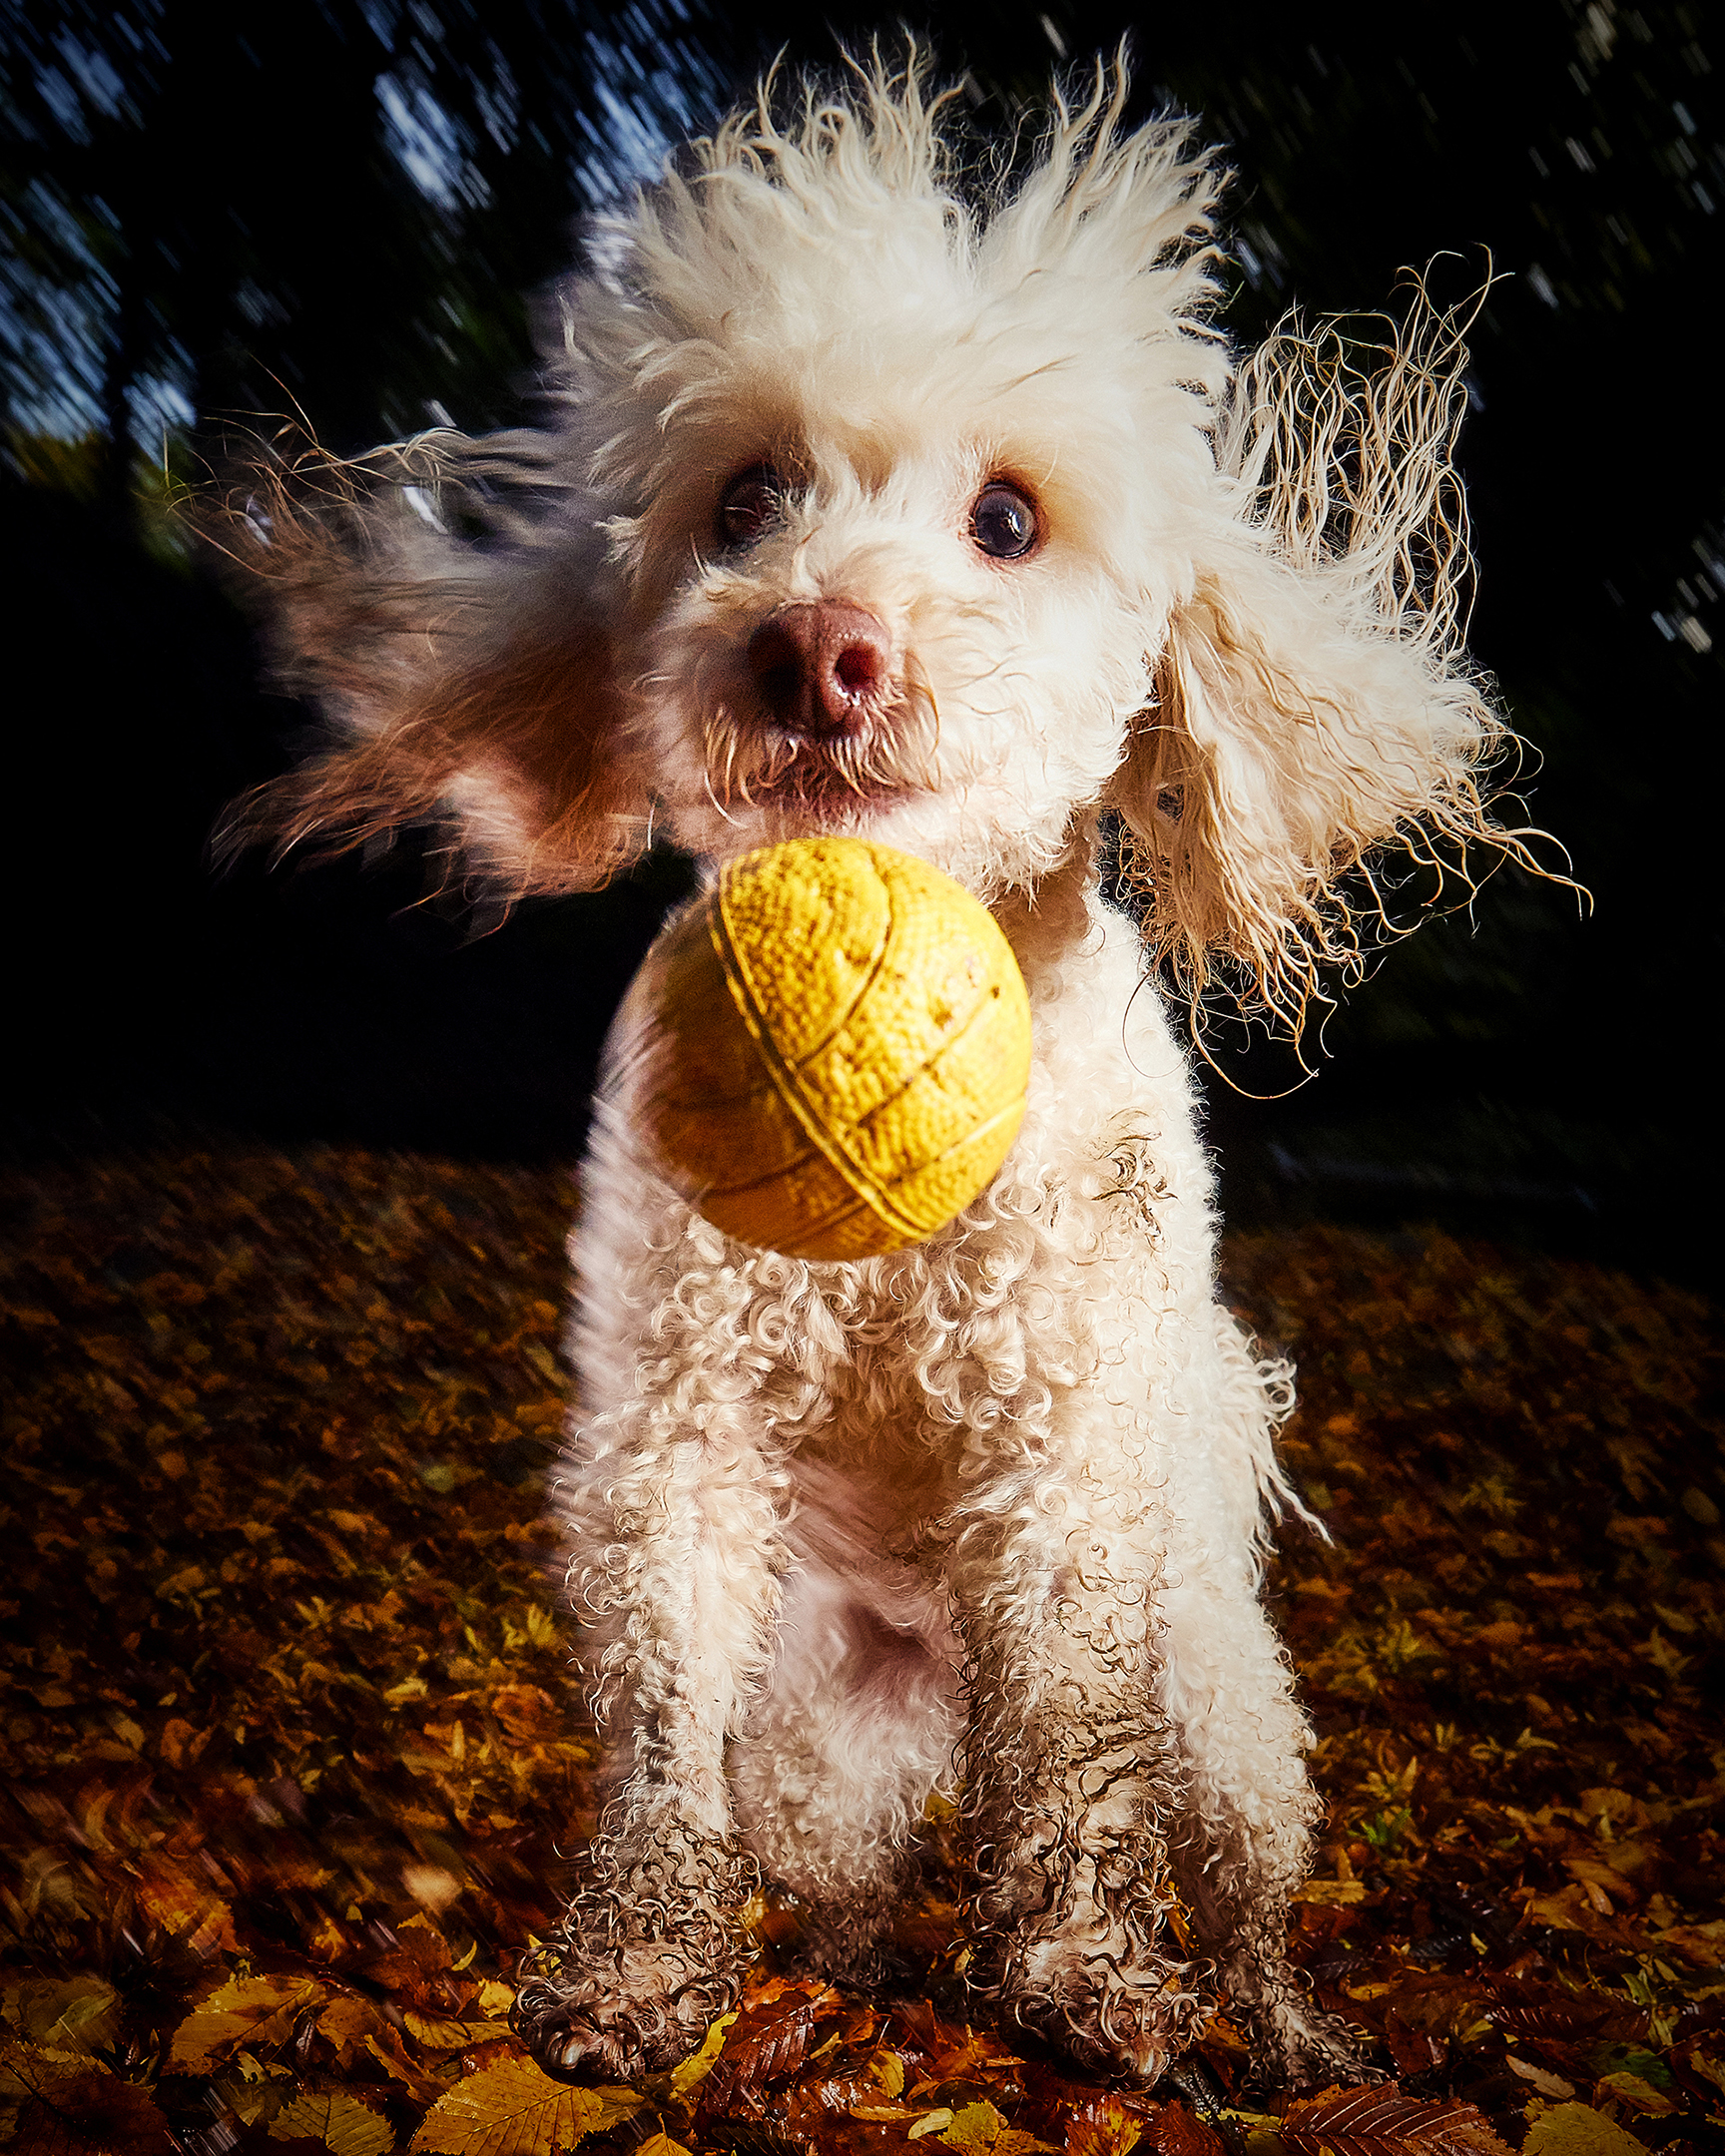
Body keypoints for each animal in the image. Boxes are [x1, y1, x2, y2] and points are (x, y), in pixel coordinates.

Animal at [222, 54, 1526, 2086]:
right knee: (832, 1876)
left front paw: (1082, 1978)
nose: (814, 647)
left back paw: (1279, 2029)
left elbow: (1069, 1757)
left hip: (1223, 1707)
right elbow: (659, 1752)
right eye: (745, 500)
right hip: (819, 1736)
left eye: (1006, 519)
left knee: (1233, 1868)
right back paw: (833, 1995)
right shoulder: (677, 1441)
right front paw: (634, 1972)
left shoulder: (1065, 1482)